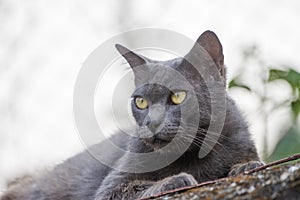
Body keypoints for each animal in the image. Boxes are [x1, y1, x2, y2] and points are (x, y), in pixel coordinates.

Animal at [1, 30, 262, 200]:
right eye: (141, 101)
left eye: (178, 96)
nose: (152, 122)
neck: (192, 157)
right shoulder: (110, 188)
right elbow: (133, 188)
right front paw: (175, 179)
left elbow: (248, 160)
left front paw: (246, 166)